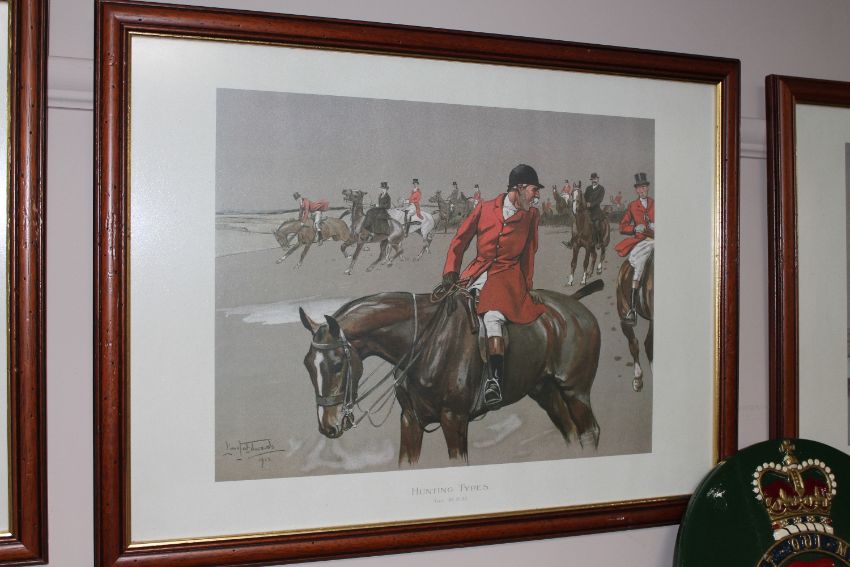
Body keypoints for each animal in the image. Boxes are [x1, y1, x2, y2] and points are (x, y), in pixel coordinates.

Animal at [298, 282, 604, 465]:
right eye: (307, 364)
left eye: (337, 364)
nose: (327, 426)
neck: (425, 341)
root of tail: (572, 305)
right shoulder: (410, 420)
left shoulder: (454, 419)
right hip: (545, 390)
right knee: (570, 431)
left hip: (575, 391)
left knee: (589, 431)